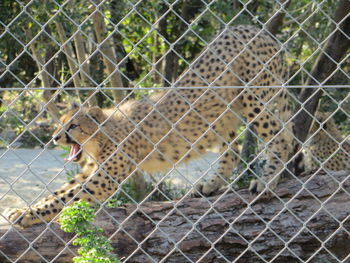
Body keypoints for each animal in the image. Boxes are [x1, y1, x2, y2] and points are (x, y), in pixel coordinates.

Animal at [6, 25, 296, 230]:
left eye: (74, 125)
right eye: (60, 124)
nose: (55, 137)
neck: (103, 135)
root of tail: (254, 28)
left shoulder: (104, 177)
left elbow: (67, 198)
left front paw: (27, 214)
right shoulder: (91, 170)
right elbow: (60, 191)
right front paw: (23, 208)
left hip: (255, 97)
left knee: (281, 136)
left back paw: (267, 180)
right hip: (225, 113)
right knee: (233, 152)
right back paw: (210, 186)